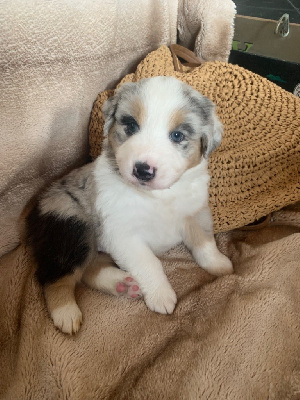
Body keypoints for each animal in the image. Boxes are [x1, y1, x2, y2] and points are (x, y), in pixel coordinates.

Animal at [25, 75, 233, 334]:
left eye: (177, 136)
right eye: (131, 126)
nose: (143, 170)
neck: (157, 197)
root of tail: (34, 209)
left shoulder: (196, 213)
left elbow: (204, 243)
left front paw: (220, 265)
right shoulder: (123, 234)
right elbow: (150, 263)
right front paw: (161, 296)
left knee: (89, 268)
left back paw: (122, 284)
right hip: (73, 227)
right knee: (57, 275)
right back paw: (66, 313)